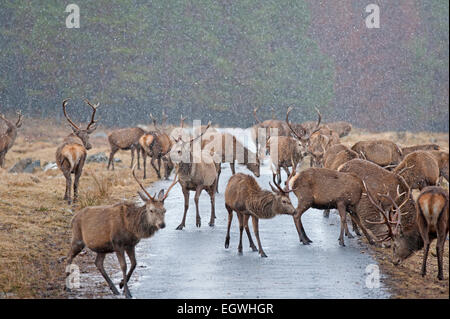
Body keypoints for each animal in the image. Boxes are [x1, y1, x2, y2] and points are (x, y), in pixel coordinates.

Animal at [66, 166, 178, 298]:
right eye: (151, 210)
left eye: (164, 210)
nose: (162, 224)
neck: (132, 227)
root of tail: (73, 218)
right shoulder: (117, 243)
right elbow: (124, 266)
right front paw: (127, 292)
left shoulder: (130, 244)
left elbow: (134, 263)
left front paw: (121, 285)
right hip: (77, 238)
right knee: (69, 257)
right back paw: (67, 287)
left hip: (102, 247)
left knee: (98, 263)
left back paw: (114, 289)